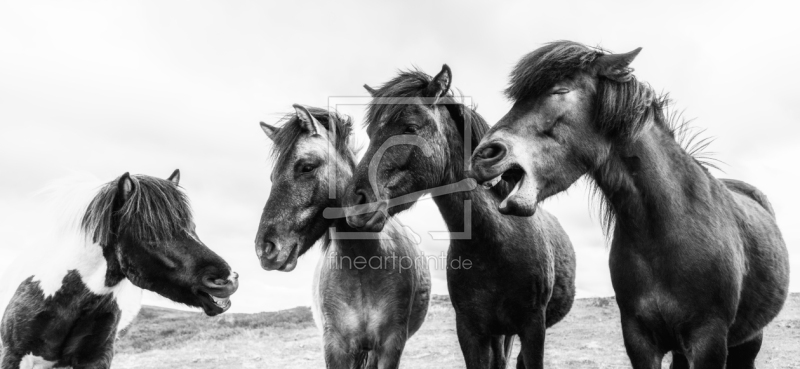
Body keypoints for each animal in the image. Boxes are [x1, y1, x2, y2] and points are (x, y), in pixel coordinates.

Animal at [255, 104, 432, 368]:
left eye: (307, 166)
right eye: (272, 177)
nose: (265, 249)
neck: (361, 265)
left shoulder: (390, 345)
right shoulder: (335, 346)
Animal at [342, 66, 576, 368]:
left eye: (410, 128)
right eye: (371, 132)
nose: (354, 204)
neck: (494, 246)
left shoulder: (533, 328)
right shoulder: (470, 330)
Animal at [472, 40, 792, 368]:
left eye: (560, 90)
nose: (484, 155)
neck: (666, 230)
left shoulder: (709, 340)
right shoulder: (639, 340)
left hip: (749, 340)